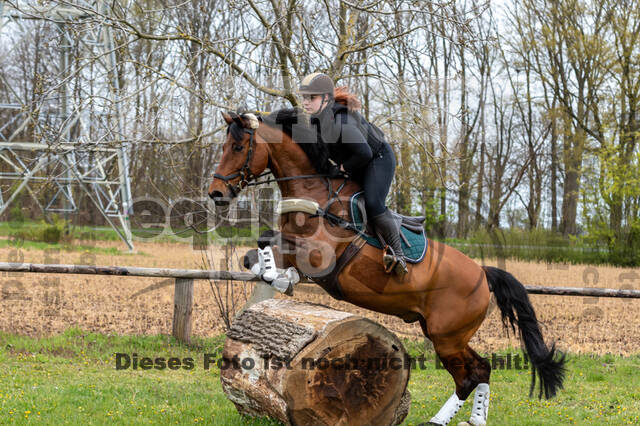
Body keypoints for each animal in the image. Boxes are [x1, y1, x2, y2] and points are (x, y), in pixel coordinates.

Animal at [208, 108, 564, 424]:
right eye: (223, 147)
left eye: (237, 147)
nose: (216, 193)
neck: (316, 195)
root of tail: (483, 273)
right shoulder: (291, 245)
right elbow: (255, 253)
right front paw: (281, 276)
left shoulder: (321, 256)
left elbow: (267, 241)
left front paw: (283, 278)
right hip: (445, 333)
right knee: (482, 369)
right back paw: (474, 420)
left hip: (446, 336)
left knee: (470, 375)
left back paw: (437, 421)